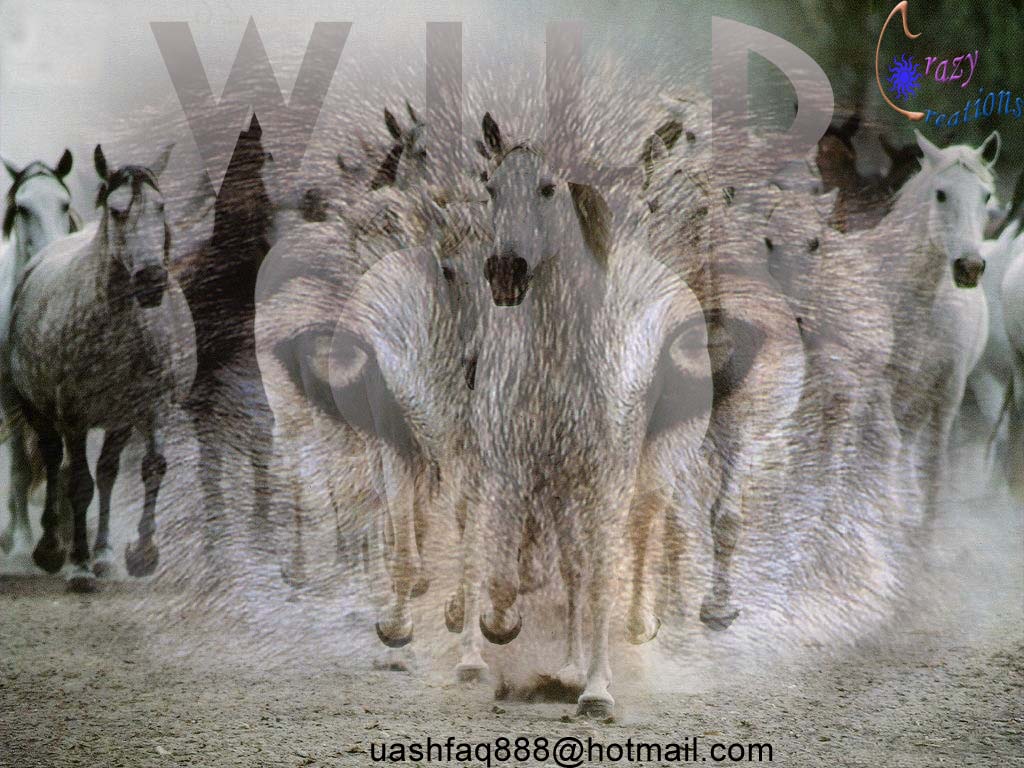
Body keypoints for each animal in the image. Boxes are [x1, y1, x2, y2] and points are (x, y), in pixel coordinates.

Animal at [6, 143, 195, 590]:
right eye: (117, 210)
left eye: (160, 207)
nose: (151, 279)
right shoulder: (72, 415)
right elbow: (77, 482)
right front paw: (78, 566)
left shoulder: (142, 407)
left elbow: (148, 468)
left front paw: (140, 554)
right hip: (36, 408)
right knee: (52, 461)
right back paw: (47, 548)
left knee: (105, 473)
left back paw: (104, 554)